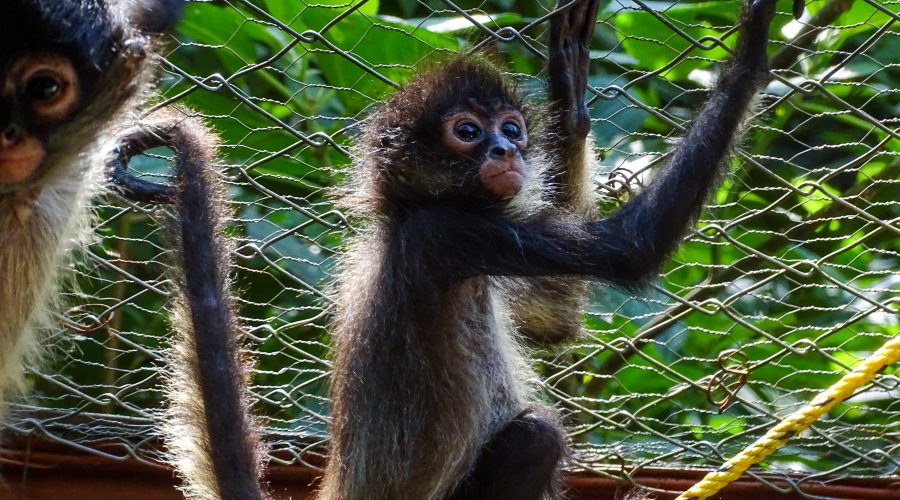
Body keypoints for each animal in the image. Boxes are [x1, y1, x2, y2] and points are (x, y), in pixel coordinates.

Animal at [322, 0, 788, 498]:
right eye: (467, 131)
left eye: (512, 129)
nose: (506, 150)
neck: (404, 212)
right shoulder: (449, 233)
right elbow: (629, 249)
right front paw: (750, 54)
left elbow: (558, 319)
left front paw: (568, 98)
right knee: (537, 435)